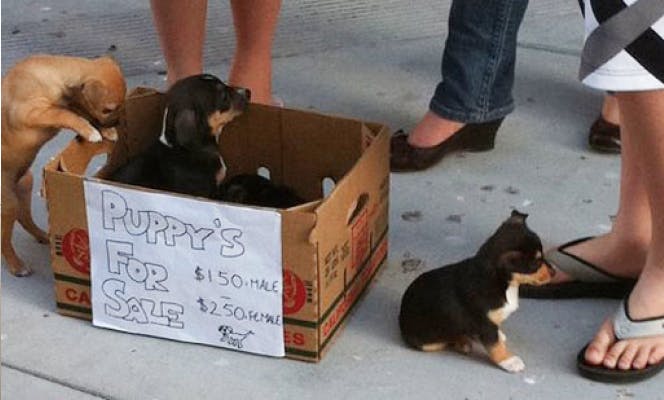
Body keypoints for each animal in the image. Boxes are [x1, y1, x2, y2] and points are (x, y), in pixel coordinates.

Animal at [0, 54, 126, 276]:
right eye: (108, 109)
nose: (116, 123)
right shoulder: (32, 112)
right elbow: (65, 114)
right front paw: (92, 131)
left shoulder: (70, 103)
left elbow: (78, 111)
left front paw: (104, 131)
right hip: (7, 202)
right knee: (3, 239)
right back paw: (17, 265)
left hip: (25, 183)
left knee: (24, 217)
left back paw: (43, 236)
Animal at [400, 211, 556, 374]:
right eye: (536, 263)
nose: (554, 272)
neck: (504, 284)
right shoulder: (485, 324)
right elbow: (496, 346)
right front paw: (509, 361)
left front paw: (500, 334)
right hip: (427, 343)